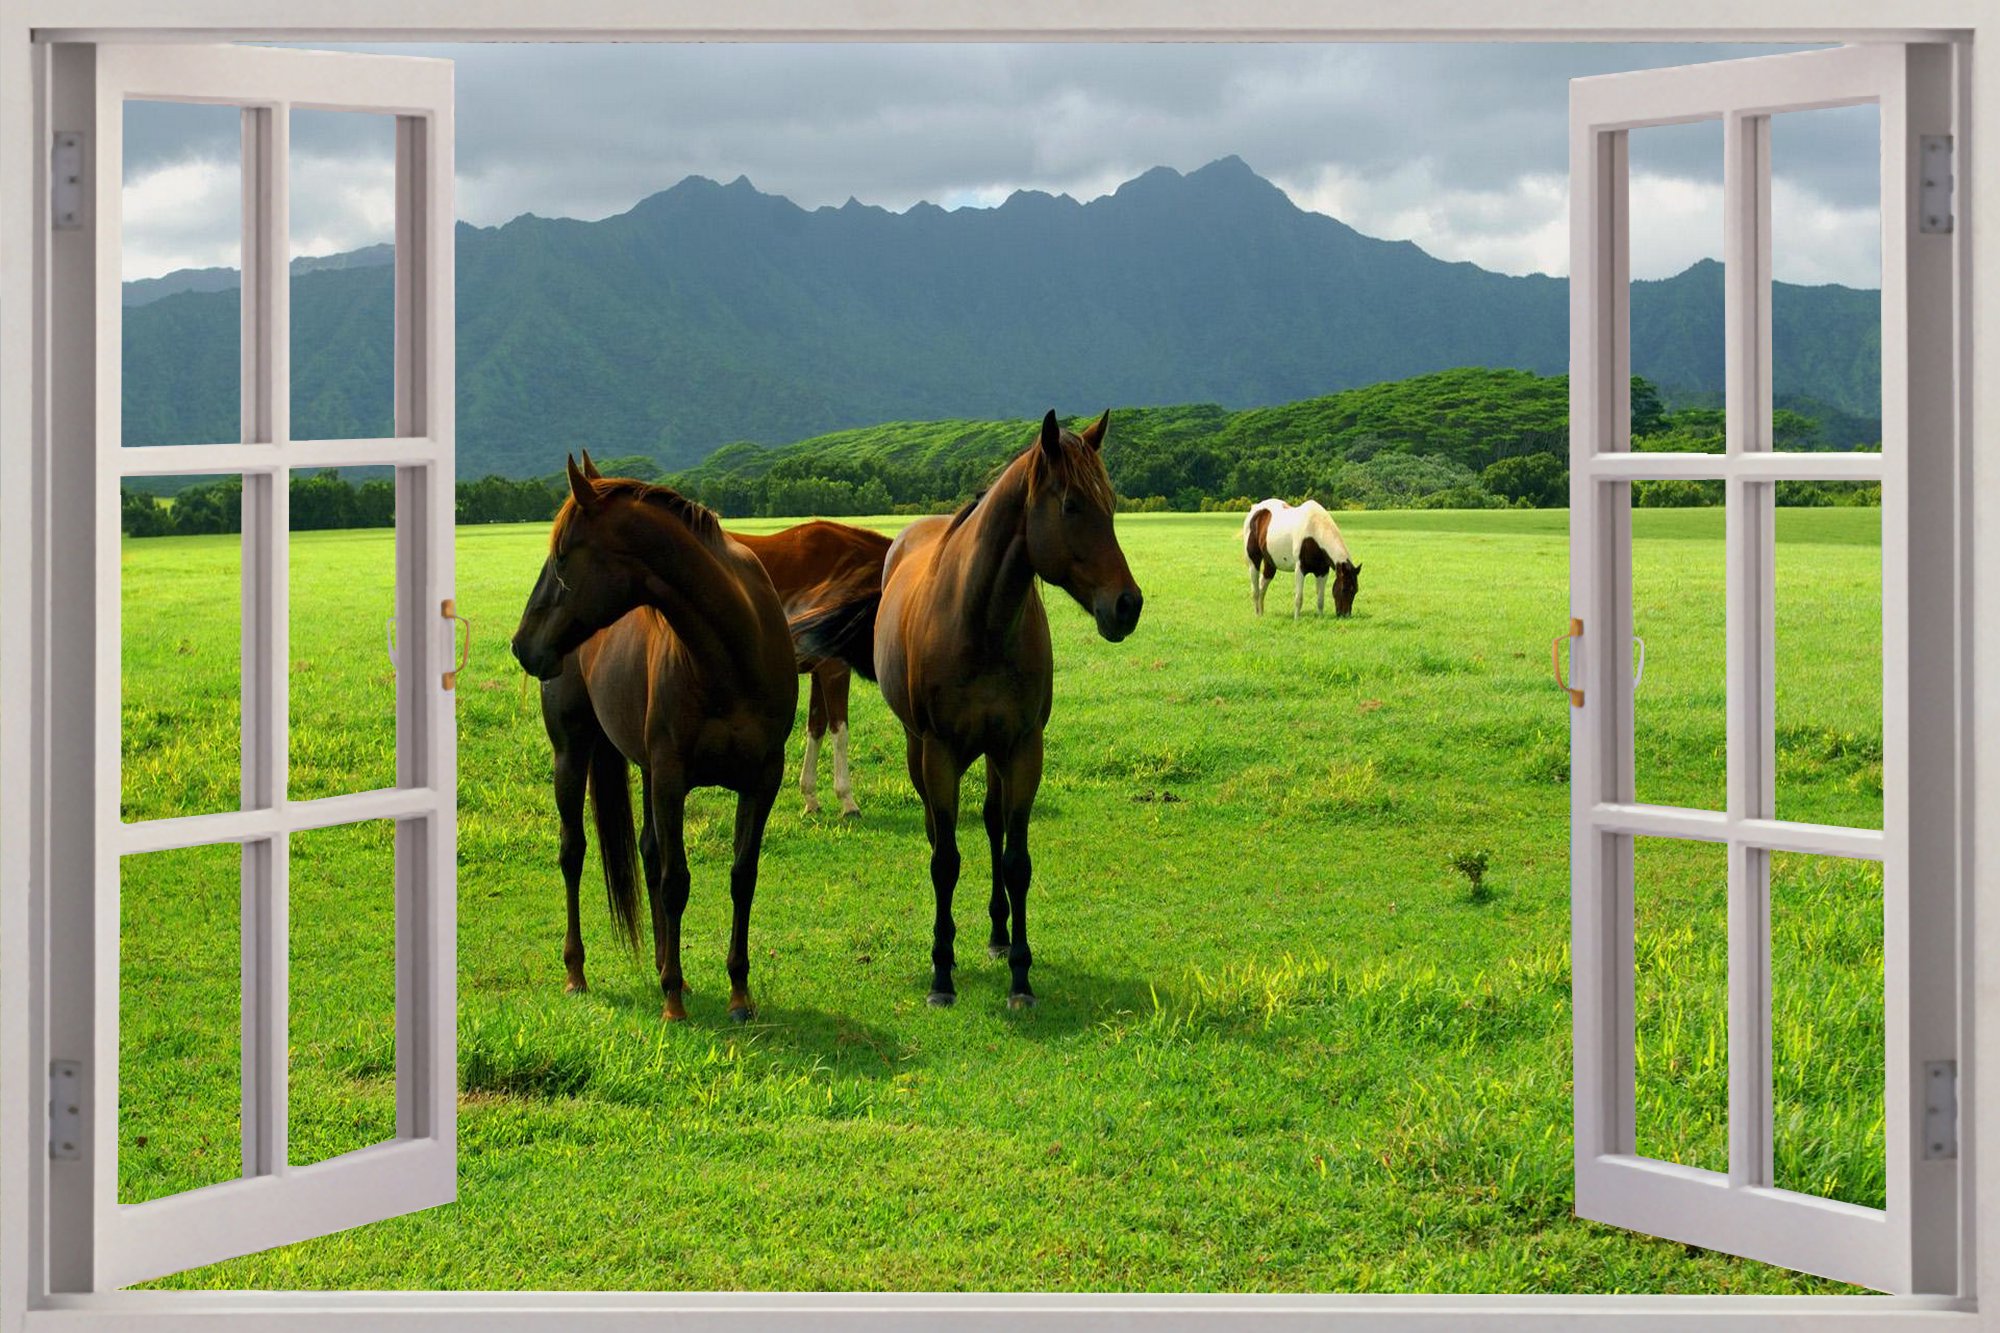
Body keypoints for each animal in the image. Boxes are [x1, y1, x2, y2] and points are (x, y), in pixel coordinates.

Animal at [510, 453, 799, 1022]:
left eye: (561, 556)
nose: (521, 645)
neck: (732, 654)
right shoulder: (671, 777)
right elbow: (675, 880)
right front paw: (672, 1002)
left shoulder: (762, 780)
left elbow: (742, 877)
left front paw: (738, 992)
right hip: (572, 754)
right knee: (573, 852)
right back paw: (579, 972)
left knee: (645, 850)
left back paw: (672, 969)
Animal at [800, 410, 1142, 1010]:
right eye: (1071, 505)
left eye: (1112, 503)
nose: (1128, 605)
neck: (981, 621)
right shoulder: (939, 752)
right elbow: (945, 861)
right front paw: (941, 972)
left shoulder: (1023, 749)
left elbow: (1015, 859)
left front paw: (1021, 975)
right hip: (919, 748)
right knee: (939, 833)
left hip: (993, 755)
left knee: (990, 824)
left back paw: (998, 935)